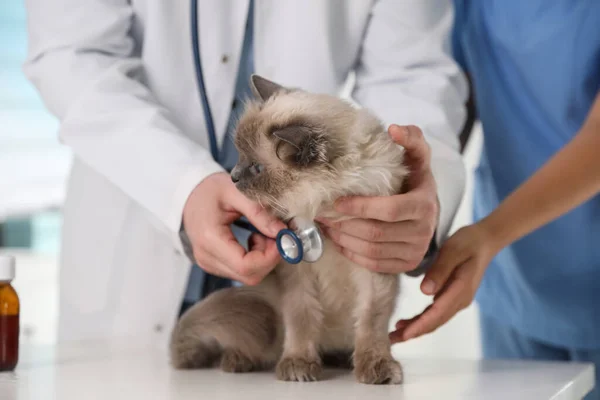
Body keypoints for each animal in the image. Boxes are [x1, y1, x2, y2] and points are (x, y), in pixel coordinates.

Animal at [171, 75, 410, 384]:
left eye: (256, 168)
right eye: (239, 157)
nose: (232, 176)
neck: (325, 211)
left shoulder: (374, 271)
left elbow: (371, 324)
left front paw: (377, 368)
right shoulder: (297, 275)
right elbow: (302, 318)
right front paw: (298, 365)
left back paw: (340, 360)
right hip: (262, 313)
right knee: (256, 347)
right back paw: (237, 361)